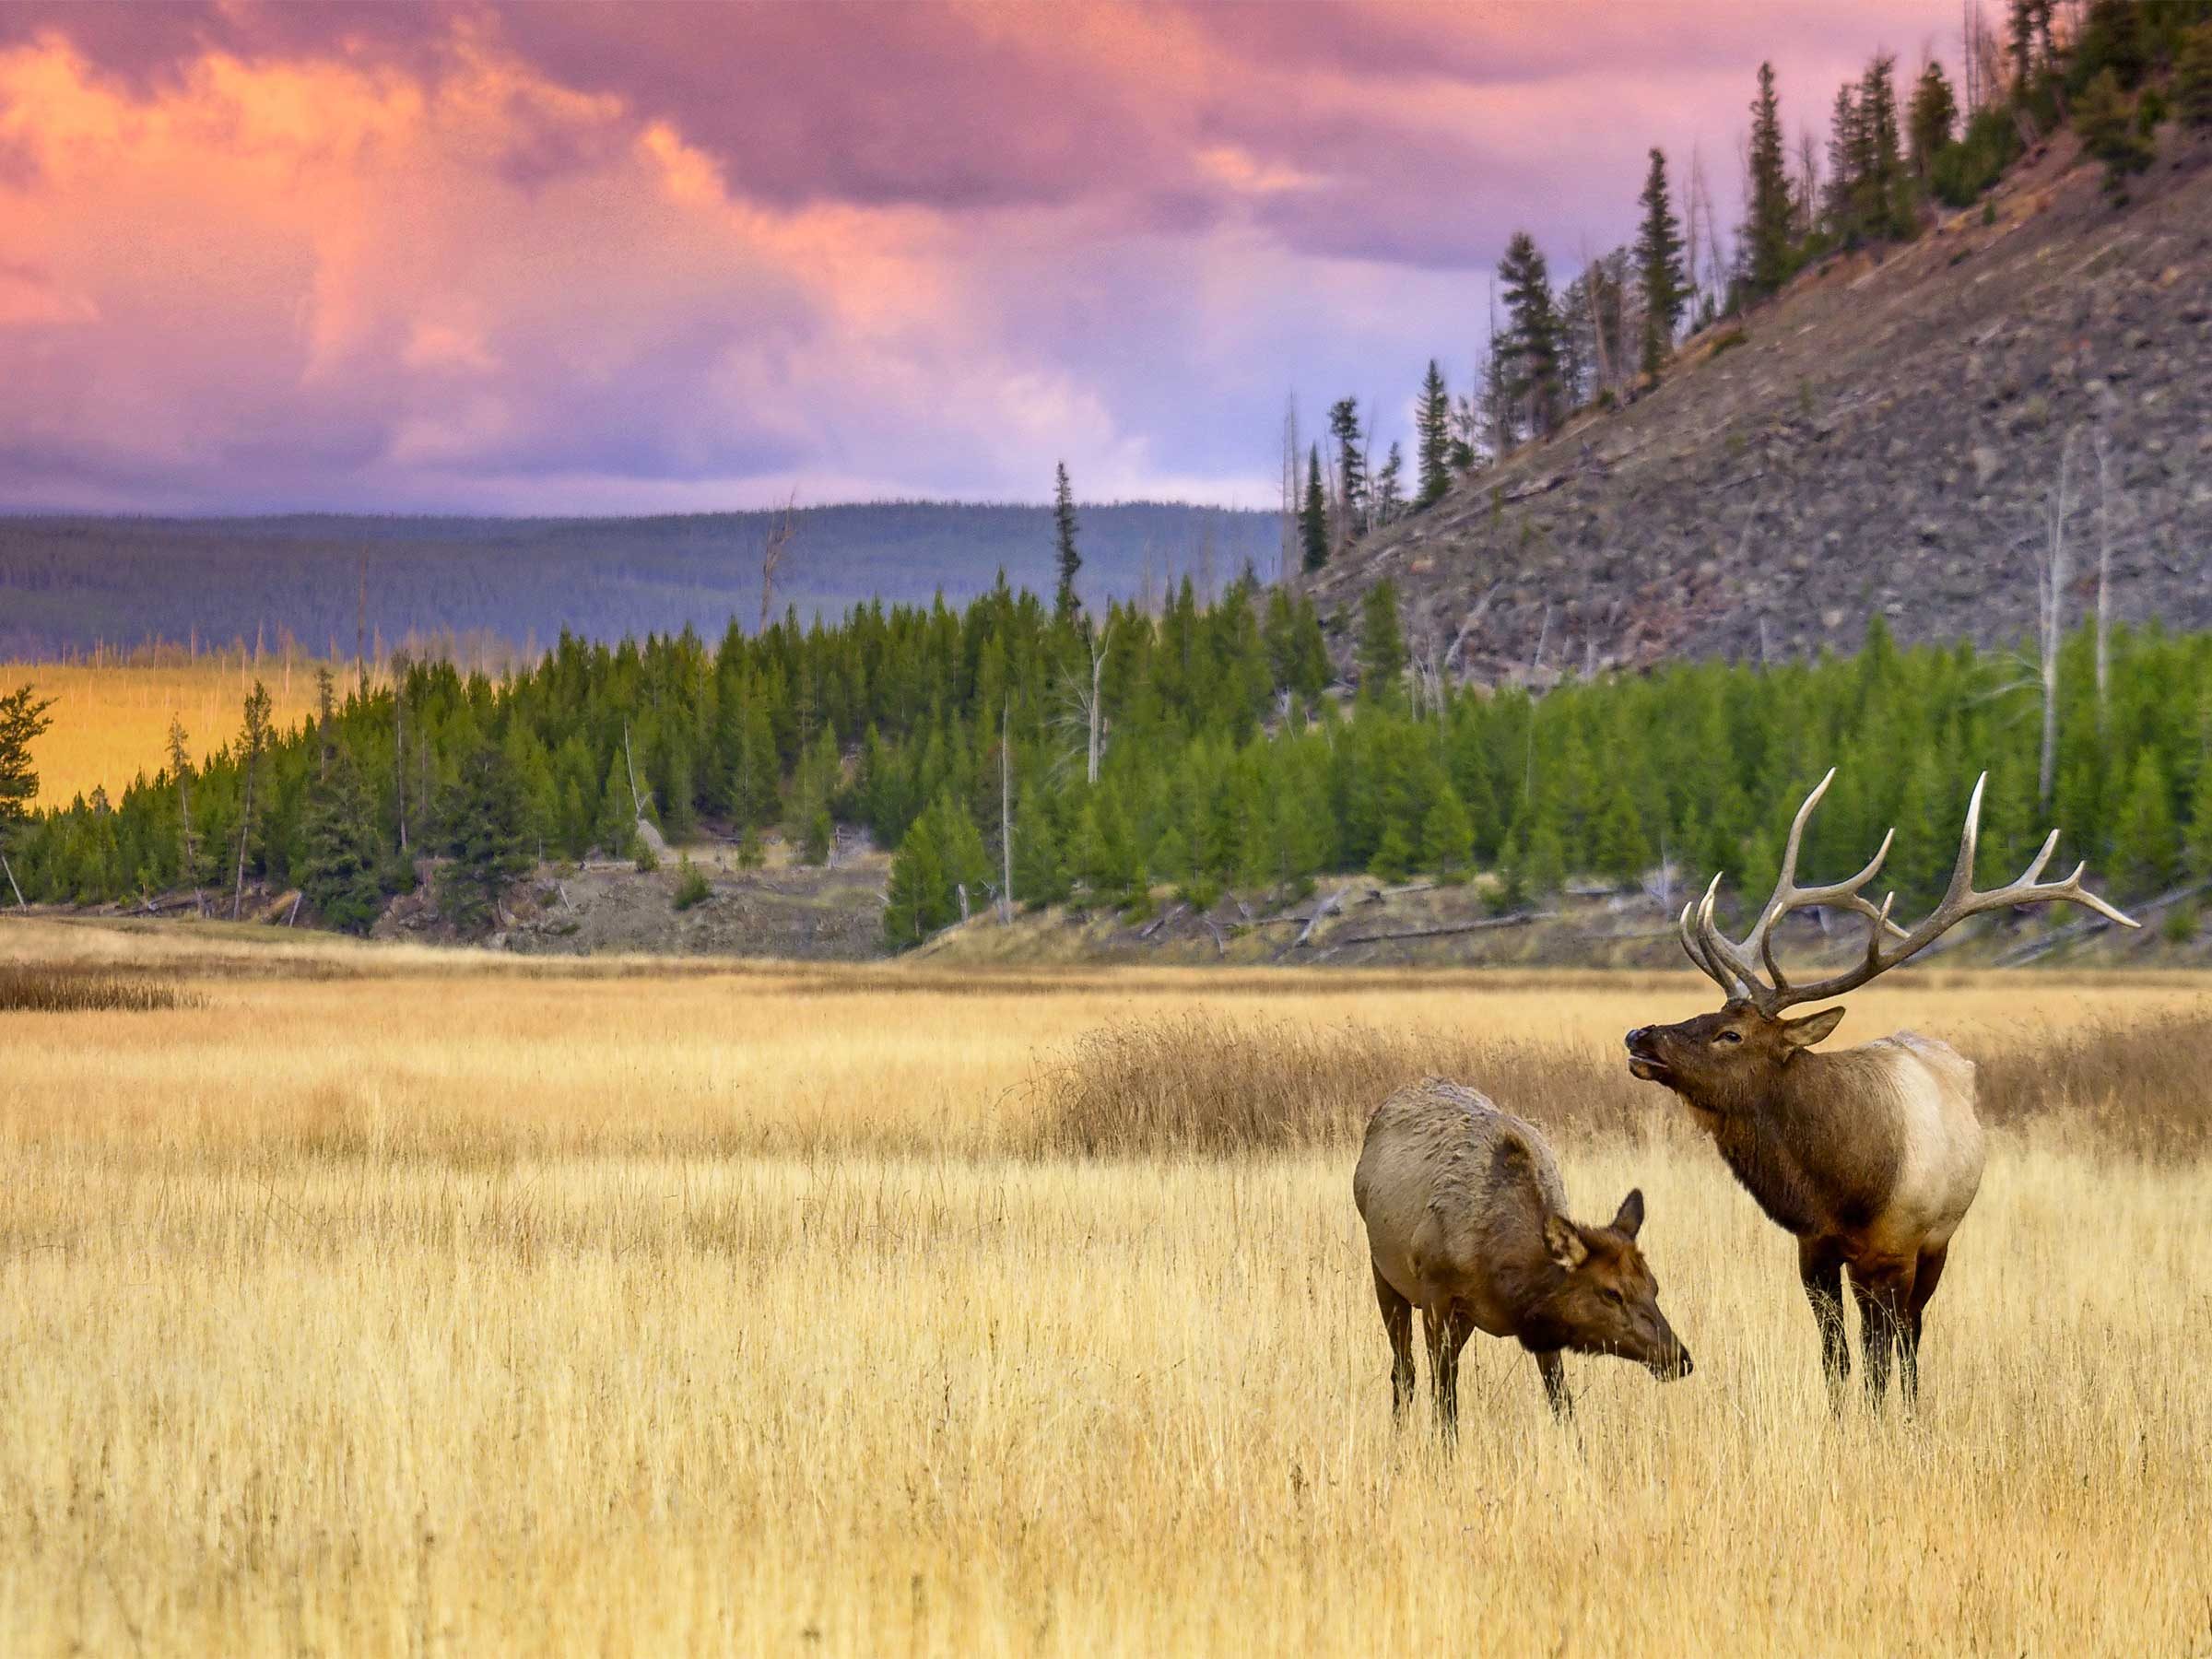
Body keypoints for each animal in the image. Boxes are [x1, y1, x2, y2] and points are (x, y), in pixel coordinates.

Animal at [1354, 1078, 1692, 1434]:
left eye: (1654, 1286)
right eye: (1612, 1293)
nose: (1678, 1357)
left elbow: (1561, 1398)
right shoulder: (1436, 1294)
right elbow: (1445, 1398)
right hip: (1384, 1275)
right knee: (1404, 1370)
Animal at [1624, 769, 2137, 1408]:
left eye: (1730, 1034)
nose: (1639, 1036)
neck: (1844, 1184)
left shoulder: (1896, 1251)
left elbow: (1877, 1361)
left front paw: (1882, 1420)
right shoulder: (1815, 1250)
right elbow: (1836, 1359)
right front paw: (1839, 1418)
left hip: (1937, 1245)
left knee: (1911, 1335)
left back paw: (1914, 1408)